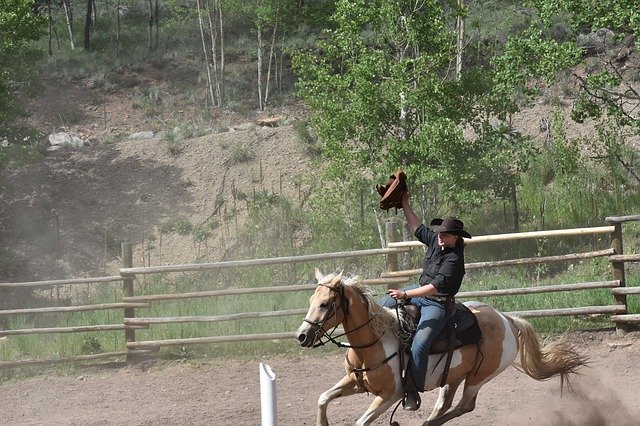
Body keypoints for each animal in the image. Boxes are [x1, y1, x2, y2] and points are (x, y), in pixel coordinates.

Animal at [298, 270, 588, 426]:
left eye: (325, 304)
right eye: (311, 300)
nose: (302, 336)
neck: (375, 340)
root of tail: (507, 319)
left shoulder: (391, 394)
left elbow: (360, 421)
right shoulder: (355, 382)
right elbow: (323, 398)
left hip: (479, 377)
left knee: (465, 406)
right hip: (453, 375)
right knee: (444, 404)